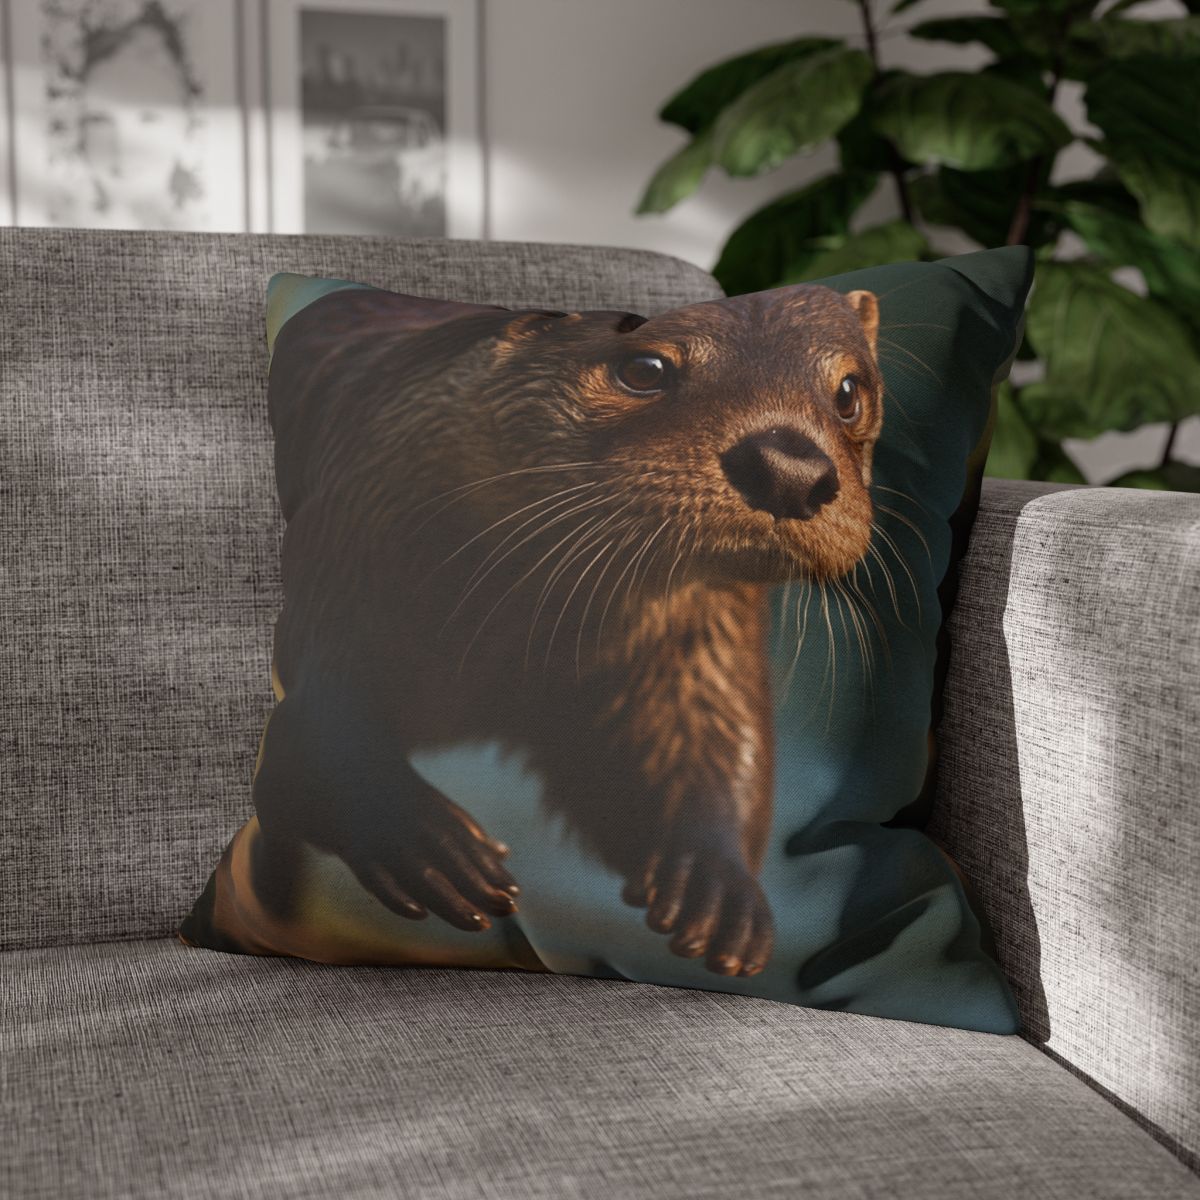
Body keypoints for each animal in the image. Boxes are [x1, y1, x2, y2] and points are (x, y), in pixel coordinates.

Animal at [243, 282, 884, 980]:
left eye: (848, 392)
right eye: (644, 369)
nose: (790, 467)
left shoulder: (700, 640)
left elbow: (707, 735)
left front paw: (716, 887)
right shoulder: (351, 543)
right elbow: (321, 715)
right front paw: (417, 836)